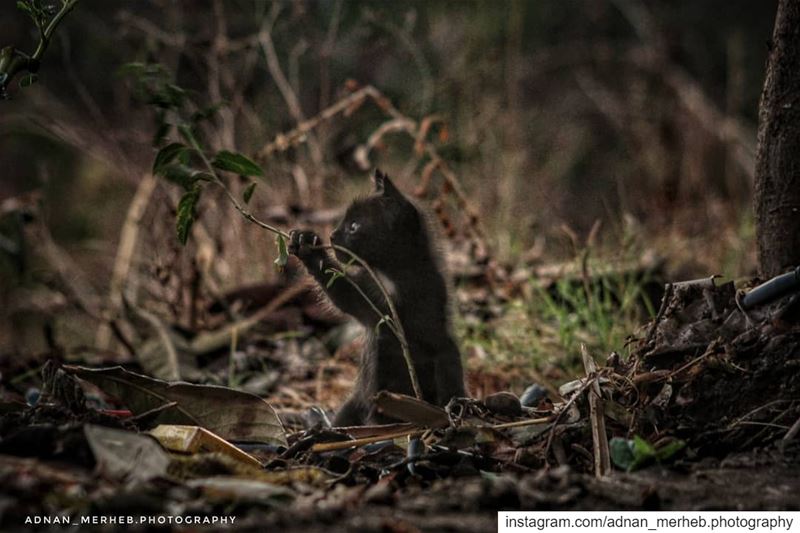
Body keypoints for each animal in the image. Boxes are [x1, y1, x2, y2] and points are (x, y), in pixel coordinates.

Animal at [288, 168, 466, 426]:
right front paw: (306, 244)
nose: (332, 236)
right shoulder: (368, 301)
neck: (392, 275)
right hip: (357, 401)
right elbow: (341, 291)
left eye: (354, 226)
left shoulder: (424, 308)